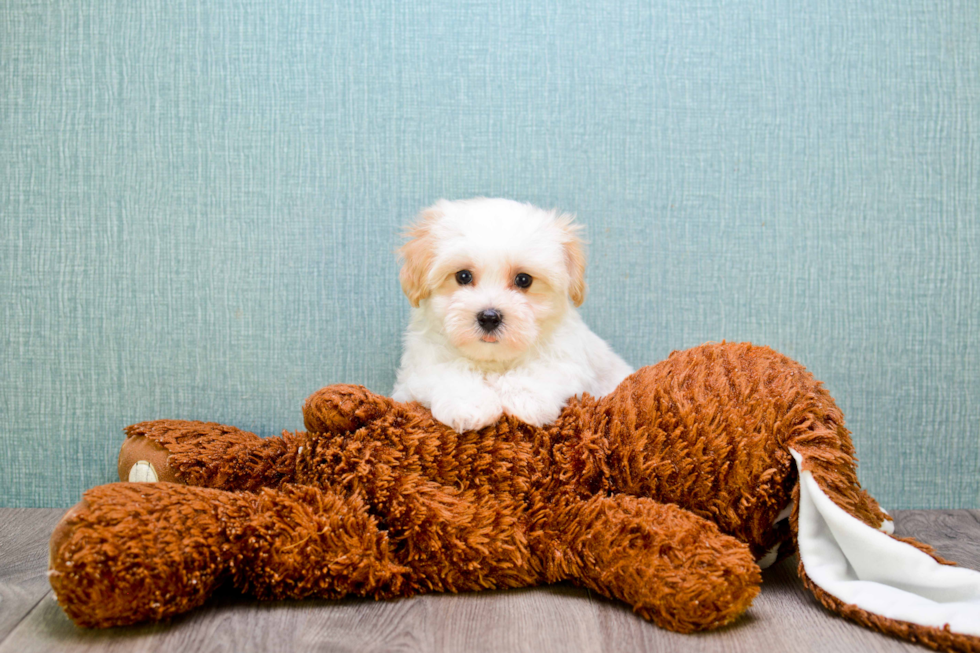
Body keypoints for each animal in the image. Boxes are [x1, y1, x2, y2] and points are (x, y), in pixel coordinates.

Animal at [392, 199, 636, 432]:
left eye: (523, 280)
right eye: (463, 276)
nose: (489, 317)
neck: (493, 361)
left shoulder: (567, 357)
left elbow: (543, 369)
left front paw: (525, 399)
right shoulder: (420, 367)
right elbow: (447, 372)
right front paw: (469, 405)